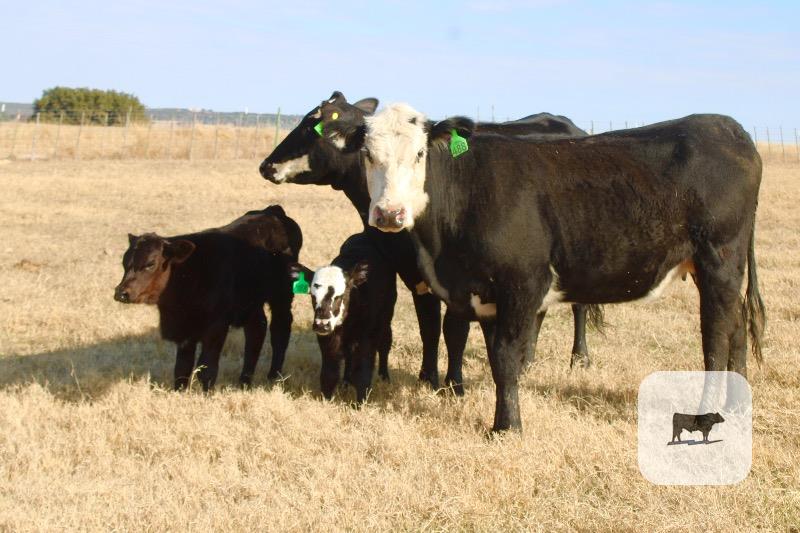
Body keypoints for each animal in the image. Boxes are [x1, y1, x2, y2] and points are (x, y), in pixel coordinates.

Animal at [114, 205, 301, 391]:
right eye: (124, 262)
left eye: (150, 264)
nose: (121, 293)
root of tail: (272, 211)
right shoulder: (185, 329)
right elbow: (182, 367)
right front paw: (179, 392)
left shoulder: (216, 325)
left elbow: (207, 368)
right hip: (251, 302)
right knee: (256, 330)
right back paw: (244, 382)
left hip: (282, 295)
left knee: (280, 329)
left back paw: (274, 378)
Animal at [294, 232, 396, 403]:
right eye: (313, 296)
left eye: (340, 296)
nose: (322, 324)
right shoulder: (327, 338)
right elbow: (329, 374)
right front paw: (326, 401)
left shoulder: (367, 337)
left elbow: (362, 374)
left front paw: (359, 404)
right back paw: (346, 383)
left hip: (386, 315)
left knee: (385, 344)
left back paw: (385, 377)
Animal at [355, 102, 765, 432]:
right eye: (368, 154)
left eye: (420, 153)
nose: (389, 213)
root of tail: (726, 126)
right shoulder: (483, 294)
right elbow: (493, 358)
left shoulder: (522, 282)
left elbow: (506, 356)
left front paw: (506, 427)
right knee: (737, 326)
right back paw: (736, 405)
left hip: (719, 257)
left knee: (716, 337)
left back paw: (704, 414)